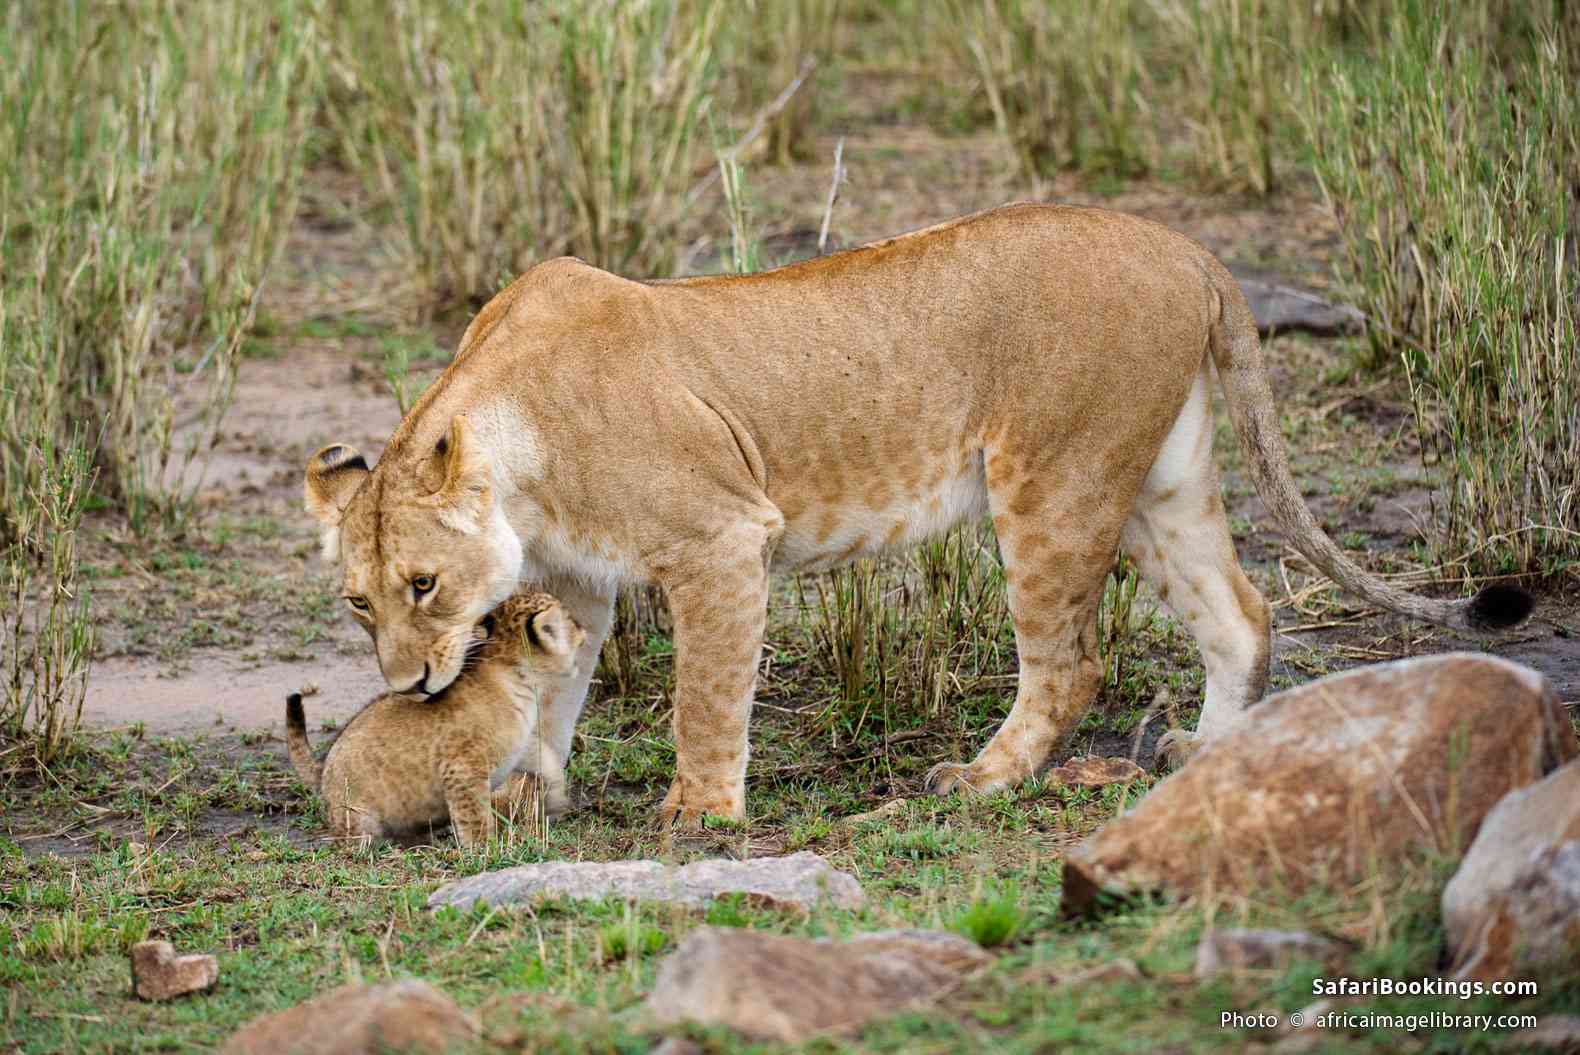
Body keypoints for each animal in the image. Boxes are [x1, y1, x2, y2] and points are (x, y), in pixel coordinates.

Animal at [285, 589, 585, 848]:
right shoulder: (462, 768)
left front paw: (556, 798)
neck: (519, 679)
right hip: (357, 816)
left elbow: (547, 760)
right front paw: (484, 850)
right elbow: (474, 816)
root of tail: (324, 770)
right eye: (569, 620)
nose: (583, 628)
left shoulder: (520, 746)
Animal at [302, 202, 1531, 828]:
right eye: (359, 601)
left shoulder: (719, 539)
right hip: (1157, 476)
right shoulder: (578, 575)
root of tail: (1182, 244)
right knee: (1240, 613)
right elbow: (554, 680)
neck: (519, 443)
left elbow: (704, 698)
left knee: (1070, 662)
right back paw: (1210, 757)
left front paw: (698, 814)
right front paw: (531, 783)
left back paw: (980, 778)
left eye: (423, 585)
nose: (409, 684)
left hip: (1054, 479)